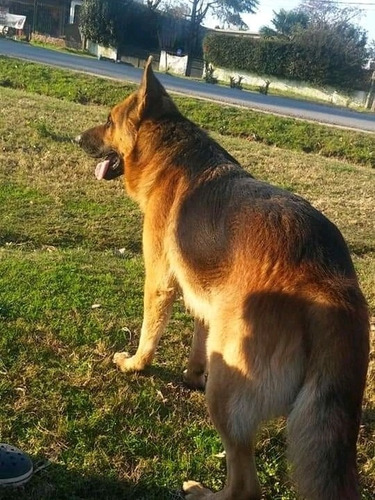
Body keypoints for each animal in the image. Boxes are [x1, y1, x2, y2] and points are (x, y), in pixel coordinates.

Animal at [76, 58, 370, 500]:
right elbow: (198, 337)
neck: (170, 154)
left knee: (245, 484)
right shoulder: (208, 295)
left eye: (109, 121)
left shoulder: (160, 280)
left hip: (228, 388)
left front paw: (135, 365)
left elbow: (149, 332)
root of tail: (330, 283)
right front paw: (192, 375)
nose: (77, 138)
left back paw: (204, 492)